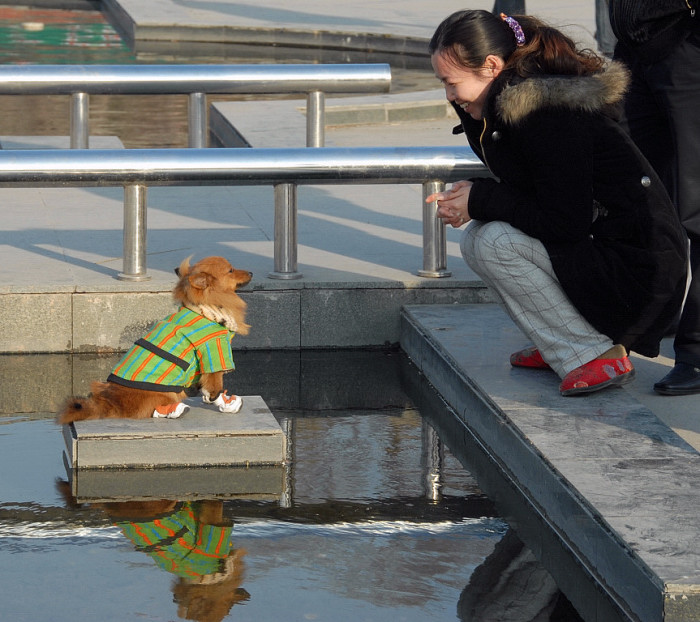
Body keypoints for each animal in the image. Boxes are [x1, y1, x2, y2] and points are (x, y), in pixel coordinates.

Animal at [58, 256, 252, 426]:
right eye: (231, 270)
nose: (251, 272)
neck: (207, 309)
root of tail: (113, 401)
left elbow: (205, 385)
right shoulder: (214, 350)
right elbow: (215, 385)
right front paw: (224, 402)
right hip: (168, 392)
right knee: (153, 409)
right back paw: (174, 410)